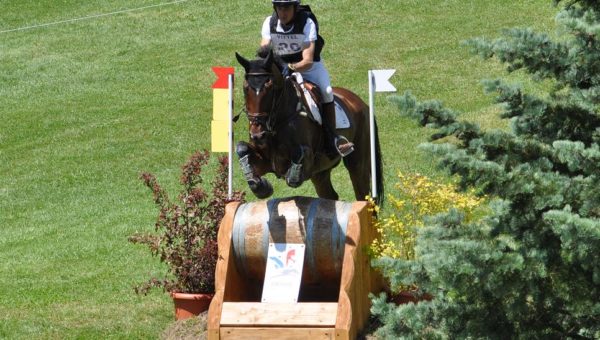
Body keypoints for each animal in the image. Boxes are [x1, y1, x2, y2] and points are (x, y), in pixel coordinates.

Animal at [234, 50, 384, 205]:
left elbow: (298, 159)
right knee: (330, 195)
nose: (258, 134)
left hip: (357, 162)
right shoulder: (265, 160)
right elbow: (241, 148)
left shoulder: (307, 162)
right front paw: (261, 187)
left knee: (362, 193)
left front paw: (291, 175)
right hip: (320, 173)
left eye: (270, 87)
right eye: (245, 88)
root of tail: (362, 104)